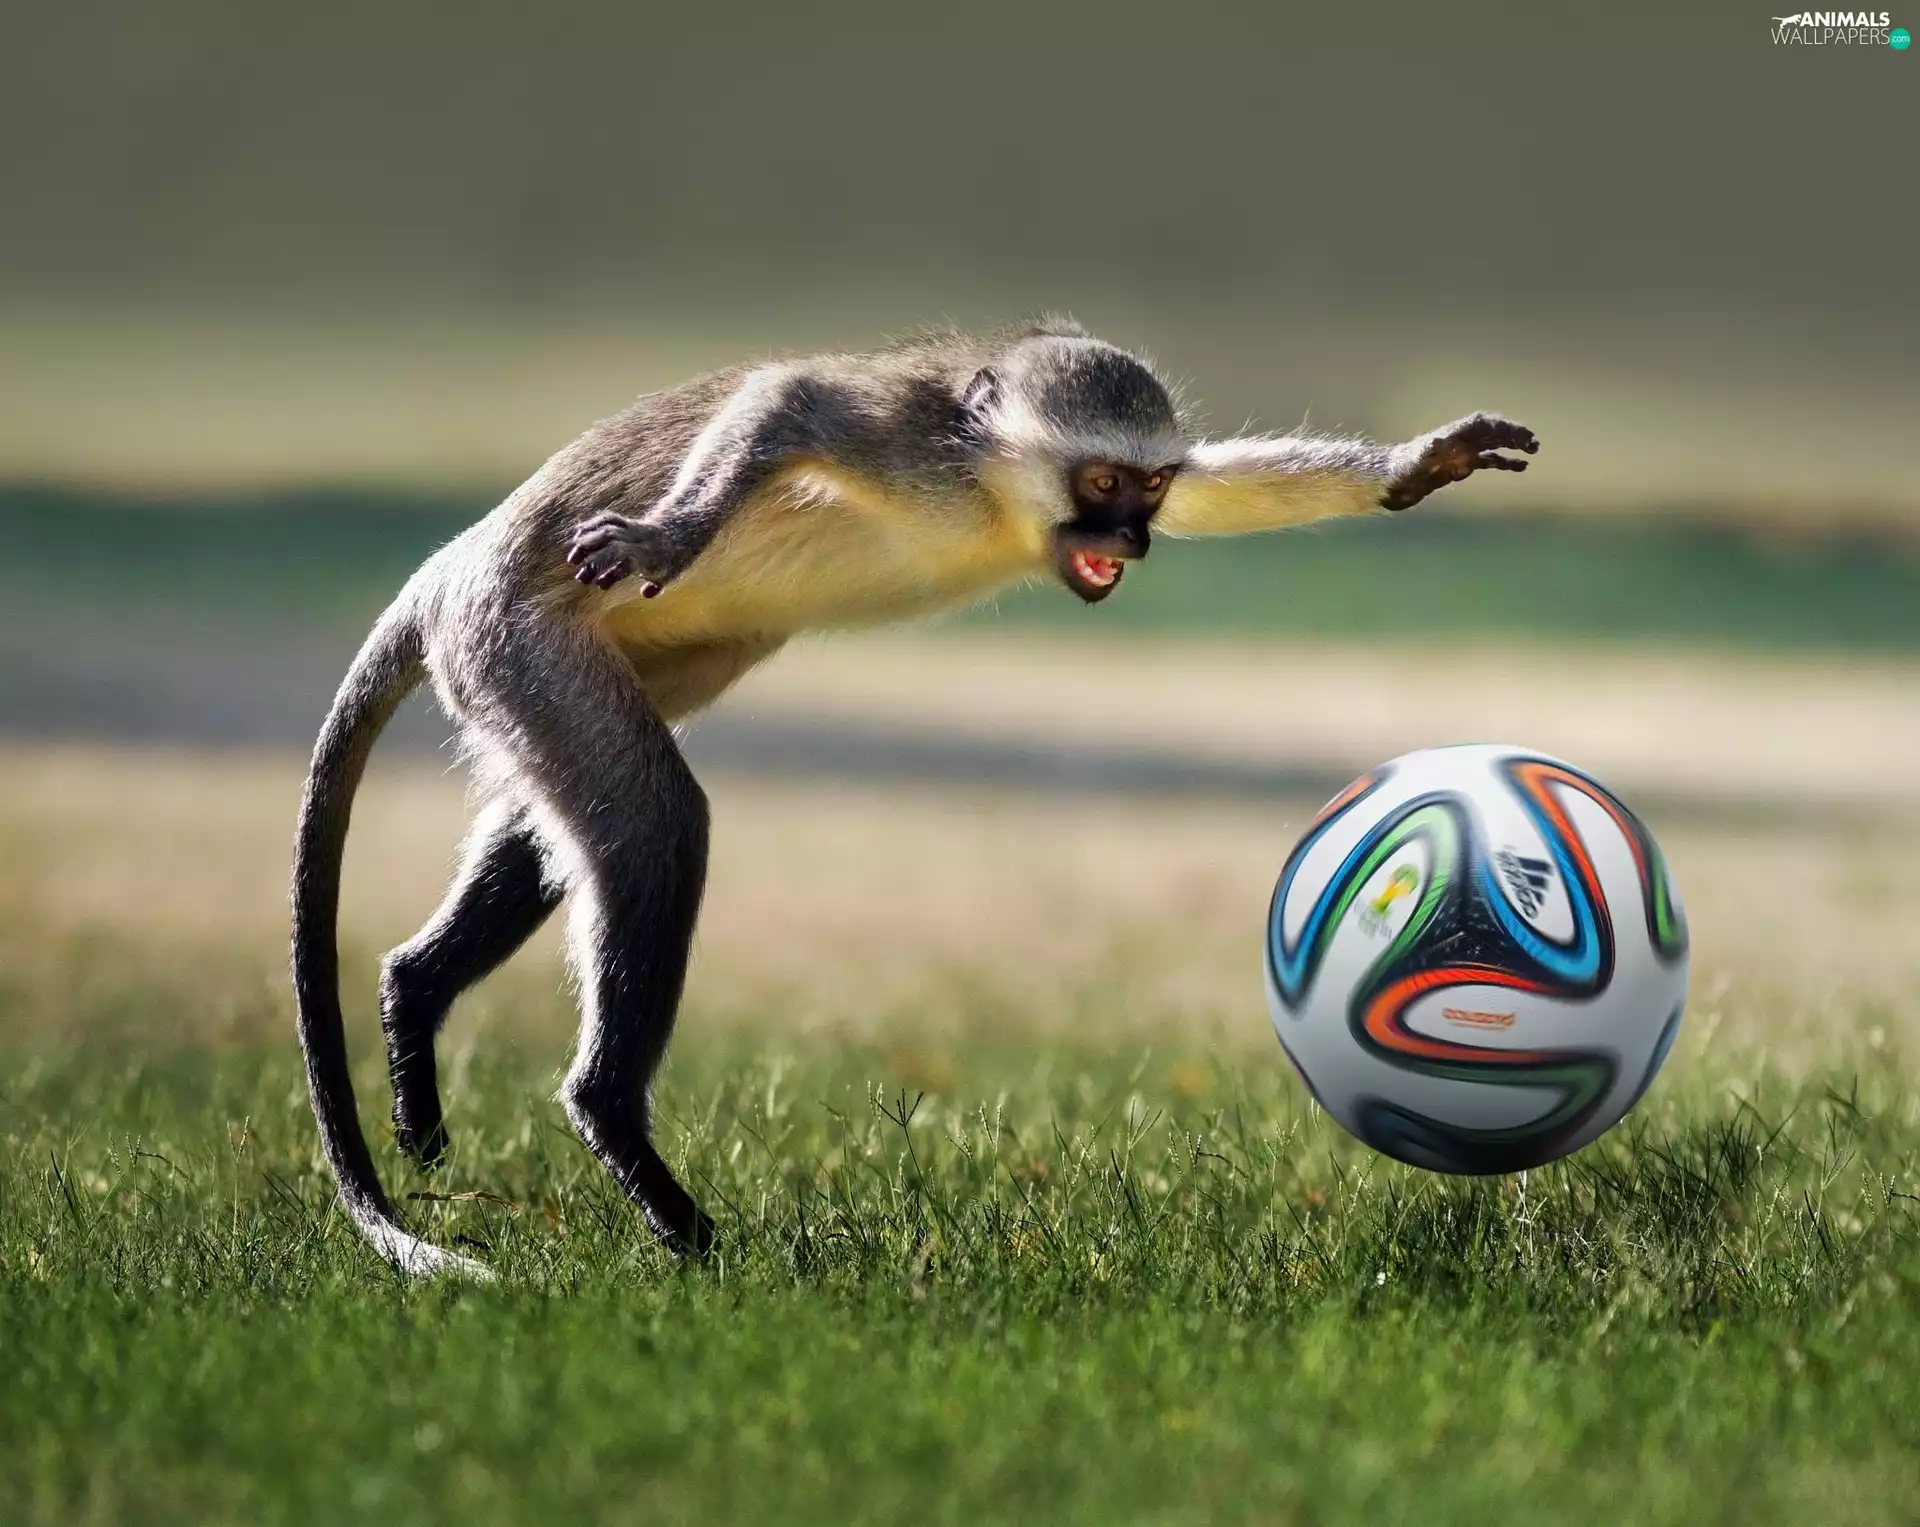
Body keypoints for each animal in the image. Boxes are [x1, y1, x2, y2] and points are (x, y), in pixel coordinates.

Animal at [290, 316, 1539, 1278]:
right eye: (1102, 484)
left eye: (1147, 486)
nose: (1132, 537)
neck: (995, 500)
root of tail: (445, 574)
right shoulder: (908, 444)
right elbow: (789, 395)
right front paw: (670, 528)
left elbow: (1221, 492)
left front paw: (1413, 466)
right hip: (516, 639)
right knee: (651, 820)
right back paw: (622, 1137)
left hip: (555, 665)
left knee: (563, 820)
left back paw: (415, 995)